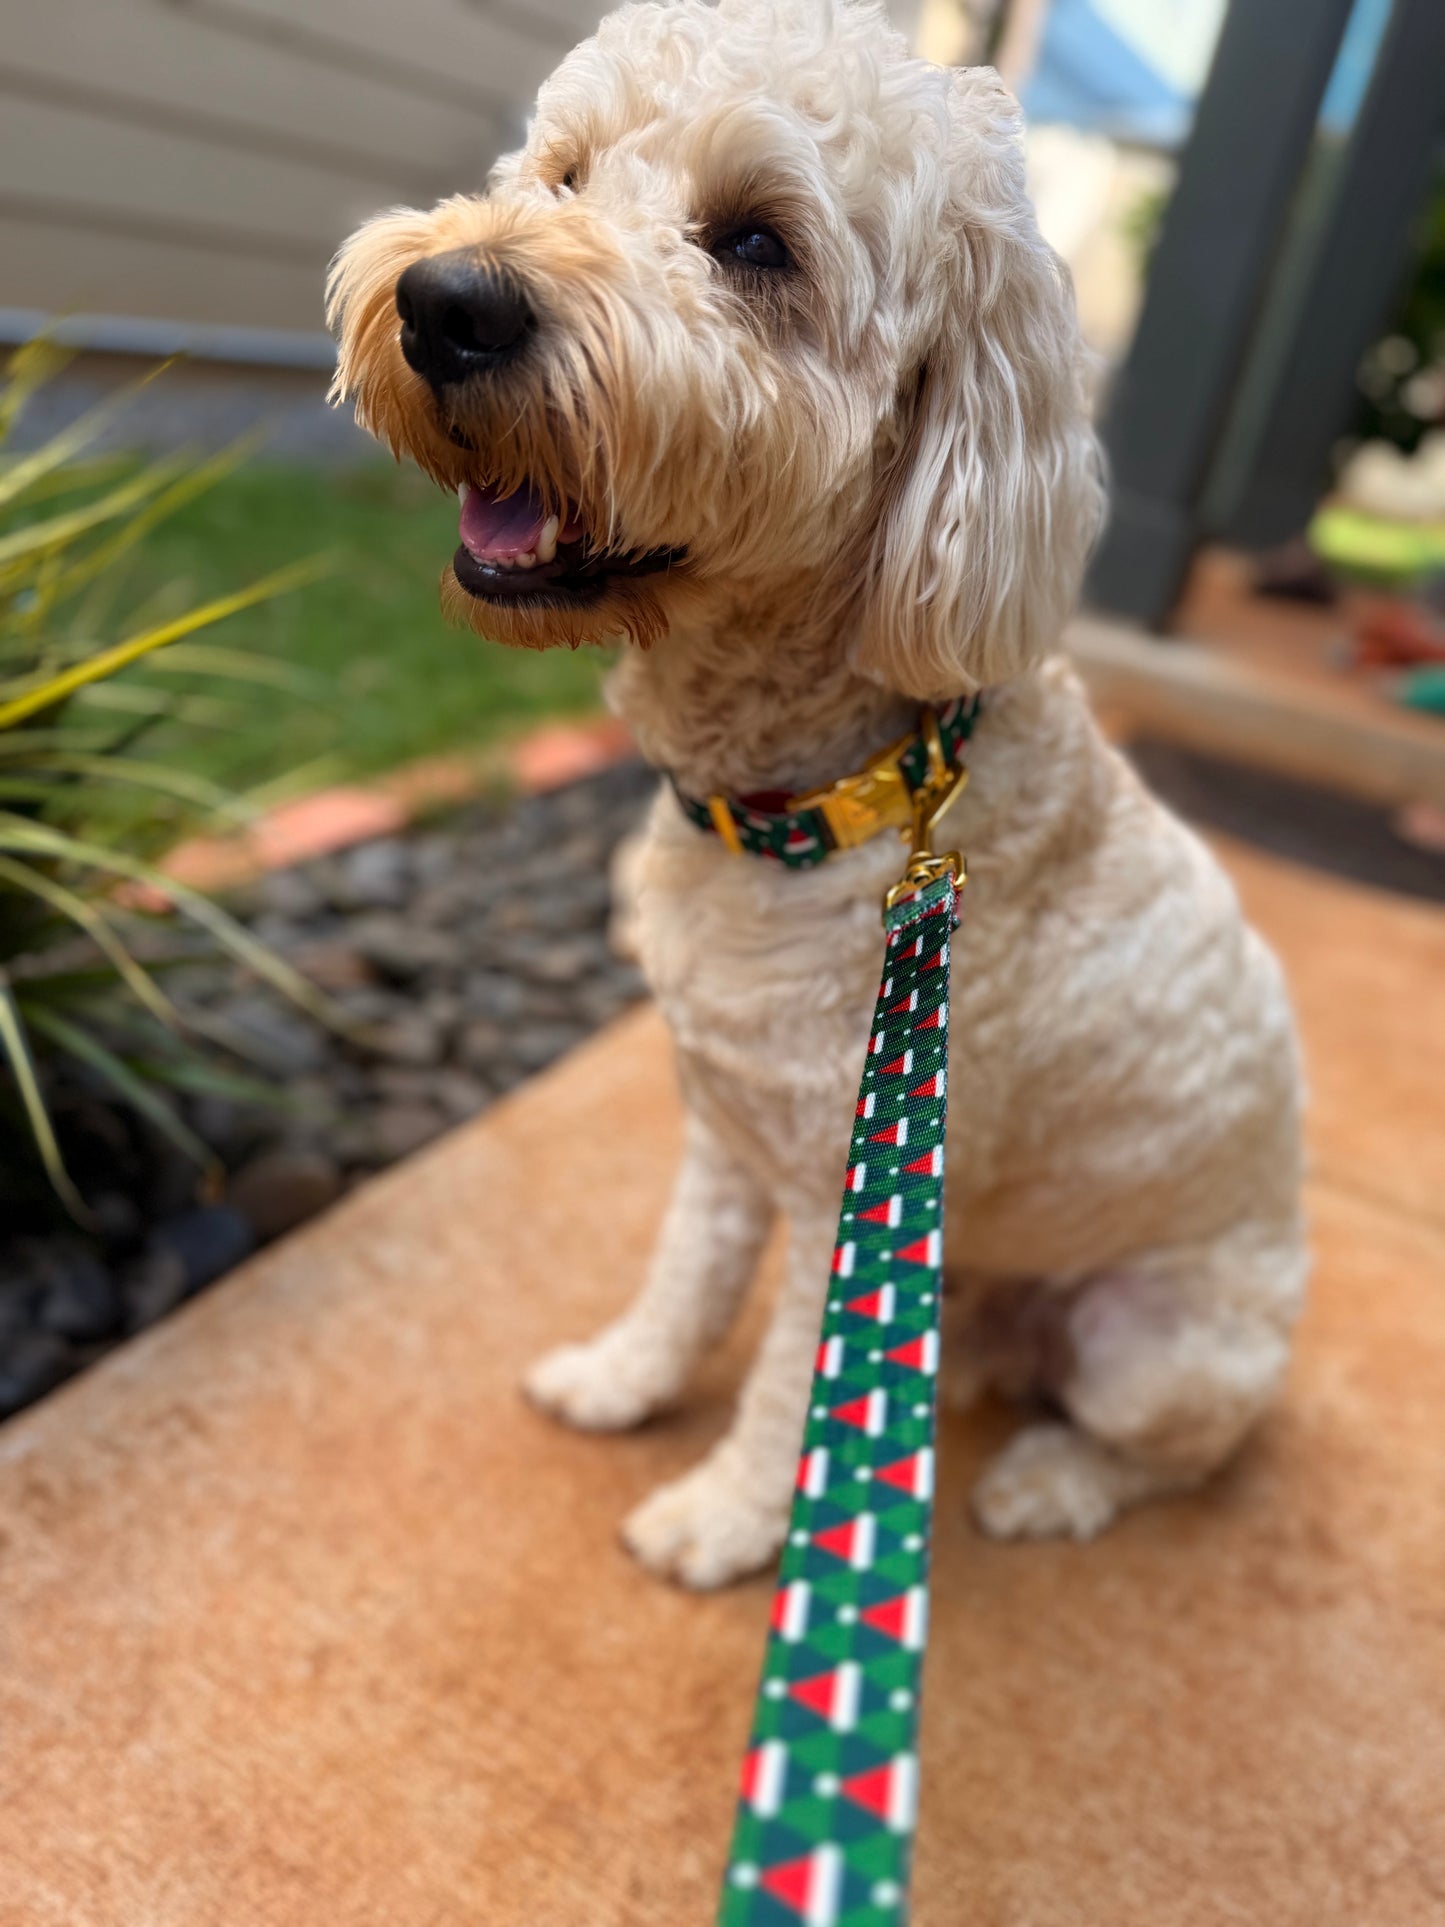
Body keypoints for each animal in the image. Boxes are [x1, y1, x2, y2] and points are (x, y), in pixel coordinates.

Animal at [333, 0, 1317, 1580]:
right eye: (564, 172)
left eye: (756, 244)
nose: (447, 302)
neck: (830, 799)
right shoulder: (725, 1131)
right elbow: (685, 1277)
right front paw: (621, 1379)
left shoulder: (843, 1184)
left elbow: (805, 1375)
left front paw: (732, 1519)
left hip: (1161, 1343)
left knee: (1170, 1451)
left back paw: (1052, 1481)